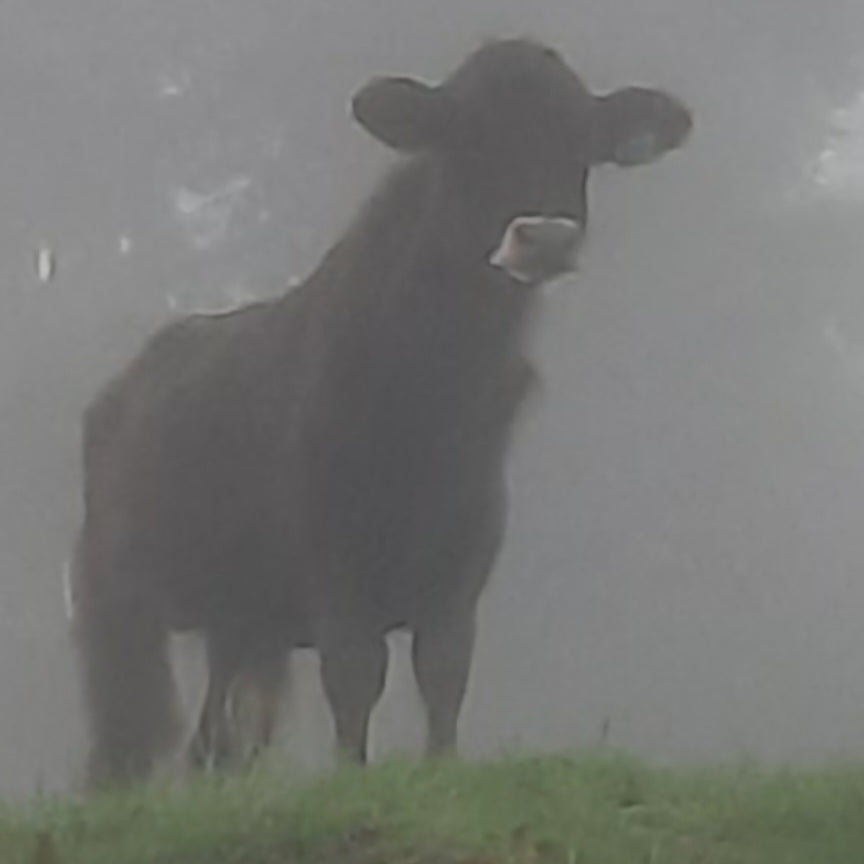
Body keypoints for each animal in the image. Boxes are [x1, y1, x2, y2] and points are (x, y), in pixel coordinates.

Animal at [71, 37, 692, 788]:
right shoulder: (337, 569)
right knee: (126, 740)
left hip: (240, 618)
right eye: (467, 136)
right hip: (115, 598)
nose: (544, 239)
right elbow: (354, 679)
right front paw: (351, 783)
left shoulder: (460, 573)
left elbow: (444, 676)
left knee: (215, 741)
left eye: (582, 141)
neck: (436, 408)